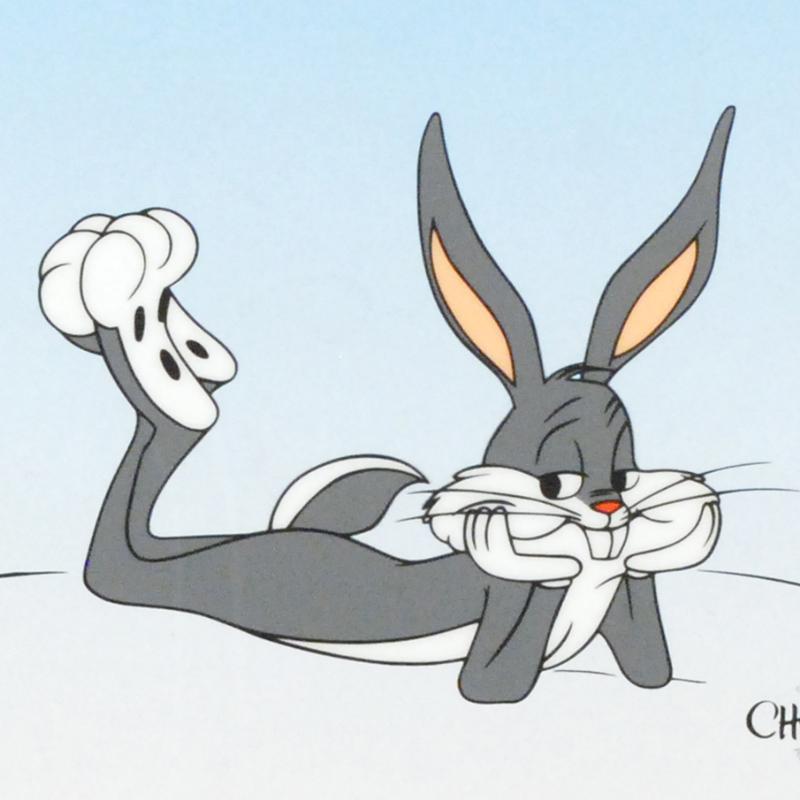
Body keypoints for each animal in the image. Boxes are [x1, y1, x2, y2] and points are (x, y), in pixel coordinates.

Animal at [37, 106, 733, 704]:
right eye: (555, 481)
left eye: (623, 471)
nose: (610, 509)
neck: (590, 571)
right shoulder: (502, 616)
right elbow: (492, 680)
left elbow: (651, 668)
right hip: (167, 570)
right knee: (155, 470)